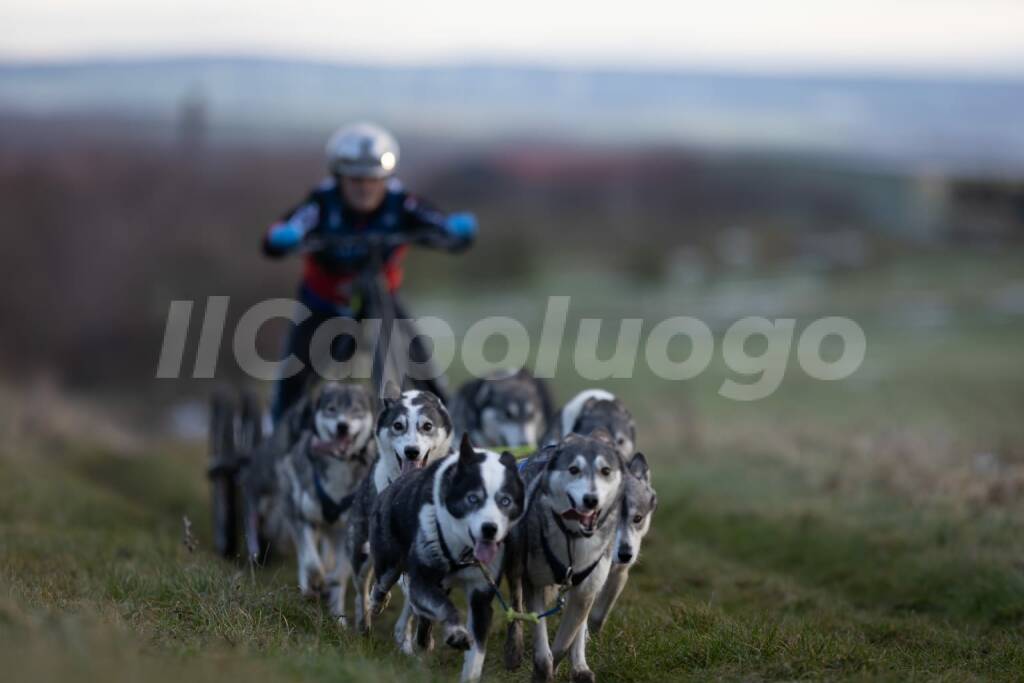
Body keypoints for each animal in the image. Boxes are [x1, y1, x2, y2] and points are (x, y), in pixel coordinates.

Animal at [272, 385, 376, 618]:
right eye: (331, 409)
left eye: (355, 410)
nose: (342, 426)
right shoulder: (302, 518)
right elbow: (311, 562)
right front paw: (315, 581)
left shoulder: (351, 532)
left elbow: (339, 575)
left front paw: (330, 585)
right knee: (306, 557)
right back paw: (309, 590)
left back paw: (338, 617)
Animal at [346, 387, 454, 634]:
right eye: (398, 425)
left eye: (427, 426)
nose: (411, 451)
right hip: (361, 548)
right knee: (361, 589)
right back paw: (364, 623)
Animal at [368, 436, 528, 679]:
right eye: (473, 498)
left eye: (506, 501)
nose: (489, 529)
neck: (463, 552)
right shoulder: (423, 579)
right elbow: (443, 606)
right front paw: (455, 632)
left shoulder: (481, 594)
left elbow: (477, 650)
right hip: (390, 560)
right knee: (383, 583)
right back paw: (377, 603)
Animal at [503, 432, 622, 683]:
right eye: (574, 469)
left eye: (605, 471)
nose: (591, 499)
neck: (573, 538)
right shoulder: (534, 582)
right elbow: (540, 640)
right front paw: (542, 670)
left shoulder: (586, 588)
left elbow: (565, 641)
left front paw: (558, 667)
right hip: (516, 560)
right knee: (515, 604)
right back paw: (513, 651)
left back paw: (580, 667)